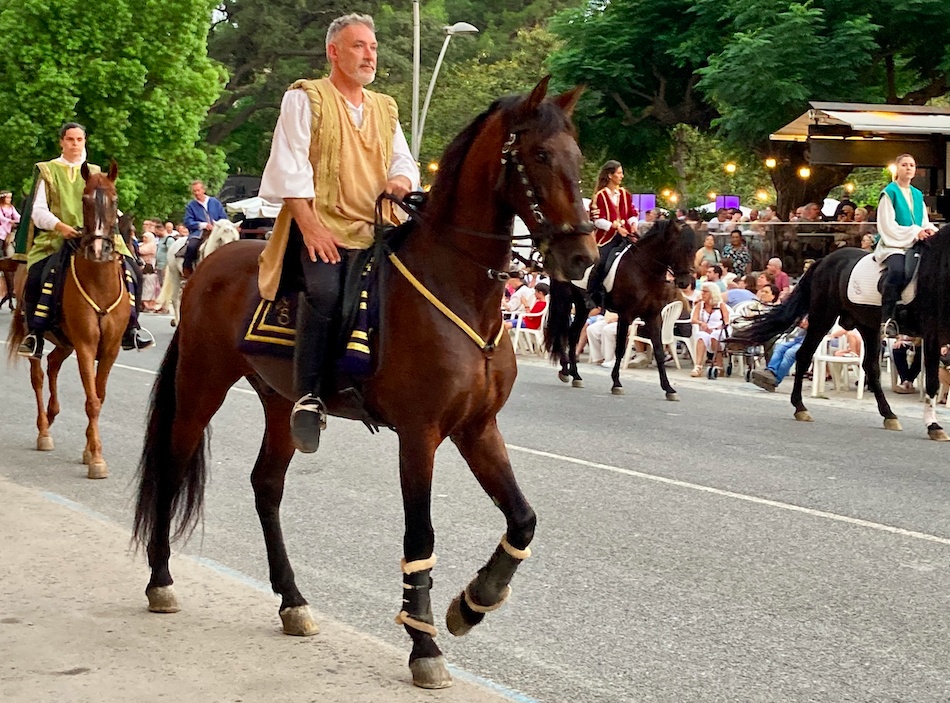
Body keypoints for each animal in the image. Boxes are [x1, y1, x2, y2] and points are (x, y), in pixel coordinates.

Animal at [6, 162, 132, 478]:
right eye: (85, 200)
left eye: (114, 200)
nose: (99, 250)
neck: (99, 283)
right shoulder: (86, 345)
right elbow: (92, 401)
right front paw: (97, 459)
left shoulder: (109, 349)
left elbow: (99, 395)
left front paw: (89, 450)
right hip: (40, 337)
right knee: (38, 376)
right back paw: (43, 431)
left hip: (65, 342)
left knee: (53, 364)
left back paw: (52, 415)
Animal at [132, 80, 596, 692]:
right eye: (540, 155)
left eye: (578, 157)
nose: (583, 257)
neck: (457, 284)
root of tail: (210, 262)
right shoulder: (420, 435)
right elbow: (420, 537)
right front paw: (424, 645)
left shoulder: (477, 428)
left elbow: (522, 519)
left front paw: (475, 601)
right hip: (201, 385)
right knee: (173, 465)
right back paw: (161, 579)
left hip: (280, 404)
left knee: (267, 486)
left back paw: (292, 600)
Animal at [548, 224, 696, 402]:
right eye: (678, 248)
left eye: (693, 250)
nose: (684, 282)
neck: (643, 270)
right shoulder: (626, 315)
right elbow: (619, 349)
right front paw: (617, 384)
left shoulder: (653, 317)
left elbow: (659, 352)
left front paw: (669, 389)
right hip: (564, 299)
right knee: (561, 333)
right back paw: (565, 370)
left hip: (583, 306)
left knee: (572, 334)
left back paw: (575, 375)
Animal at [732, 226, 948, 440]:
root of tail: (824, 260)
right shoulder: (932, 336)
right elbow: (932, 382)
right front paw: (934, 426)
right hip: (823, 317)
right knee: (804, 355)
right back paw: (801, 408)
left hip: (867, 325)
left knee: (870, 367)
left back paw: (889, 415)